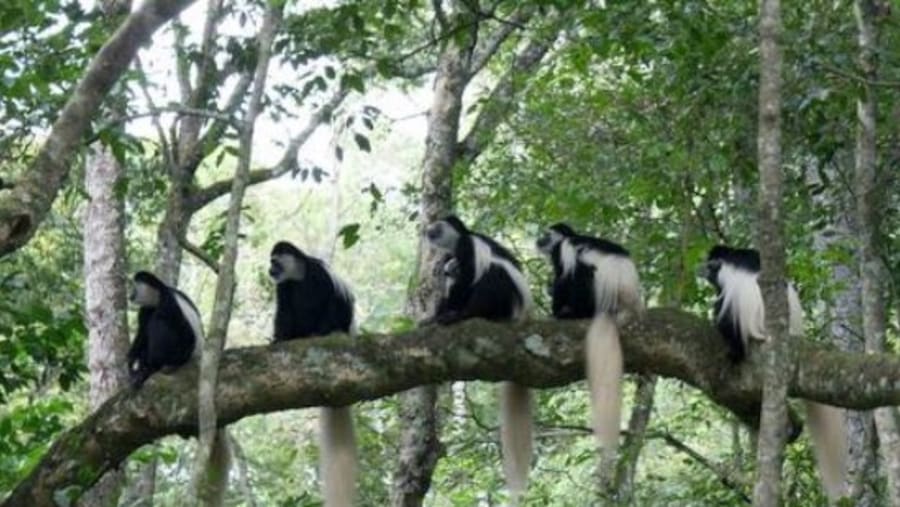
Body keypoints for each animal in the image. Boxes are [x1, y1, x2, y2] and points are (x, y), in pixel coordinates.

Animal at [269, 241, 357, 507]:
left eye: (274, 261)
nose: (270, 271)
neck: (297, 275)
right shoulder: (283, 287)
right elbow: (284, 313)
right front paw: (278, 340)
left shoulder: (319, 275)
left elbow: (330, 299)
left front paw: (321, 331)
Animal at [424, 215, 534, 502]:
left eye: (439, 226)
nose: (429, 229)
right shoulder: (448, 261)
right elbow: (451, 283)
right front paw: (435, 316)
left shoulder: (466, 249)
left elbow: (467, 279)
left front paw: (449, 315)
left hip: (505, 299)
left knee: (492, 277)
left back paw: (465, 315)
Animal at [702, 244, 848, 502]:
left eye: (710, 266)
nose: (703, 270)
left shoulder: (727, 283)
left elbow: (723, 307)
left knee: (726, 315)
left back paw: (734, 353)